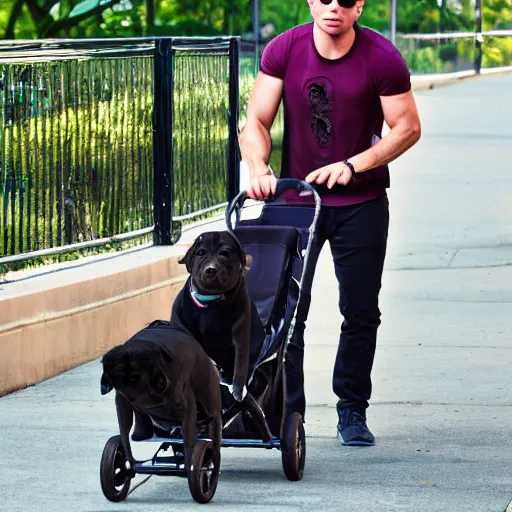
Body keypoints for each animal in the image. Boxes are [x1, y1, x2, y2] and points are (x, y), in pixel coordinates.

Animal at [100, 322, 222, 470]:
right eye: (119, 375)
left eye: (136, 376)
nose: (161, 381)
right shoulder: (122, 401)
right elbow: (124, 431)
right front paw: (128, 462)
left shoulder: (186, 405)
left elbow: (189, 441)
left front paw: (190, 465)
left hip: (210, 408)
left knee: (213, 438)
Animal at [172, 232, 262, 404]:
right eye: (200, 253)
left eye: (225, 253)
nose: (211, 269)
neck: (211, 303)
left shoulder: (240, 332)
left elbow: (240, 362)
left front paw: (238, 390)